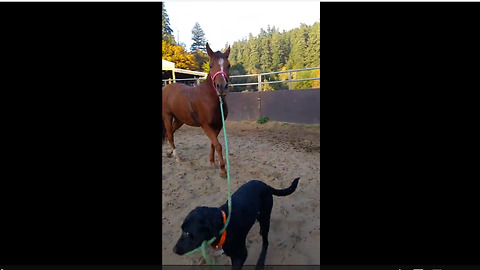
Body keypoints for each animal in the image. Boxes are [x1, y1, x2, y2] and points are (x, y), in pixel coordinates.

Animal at [162, 43, 232, 178]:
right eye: (211, 65)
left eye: (228, 65)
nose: (221, 87)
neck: (210, 98)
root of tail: (165, 88)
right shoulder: (206, 125)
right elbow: (218, 145)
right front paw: (222, 170)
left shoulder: (218, 125)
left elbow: (213, 144)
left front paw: (212, 162)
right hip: (167, 116)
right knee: (170, 135)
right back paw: (177, 157)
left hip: (179, 120)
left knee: (170, 133)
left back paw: (169, 153)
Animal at [172, 177, 300, 268]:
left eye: (187, 233)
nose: (174, 250)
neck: (224, 227)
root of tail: (266, 185)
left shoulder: (240, 255)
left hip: (265, 216)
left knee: (265, 242)